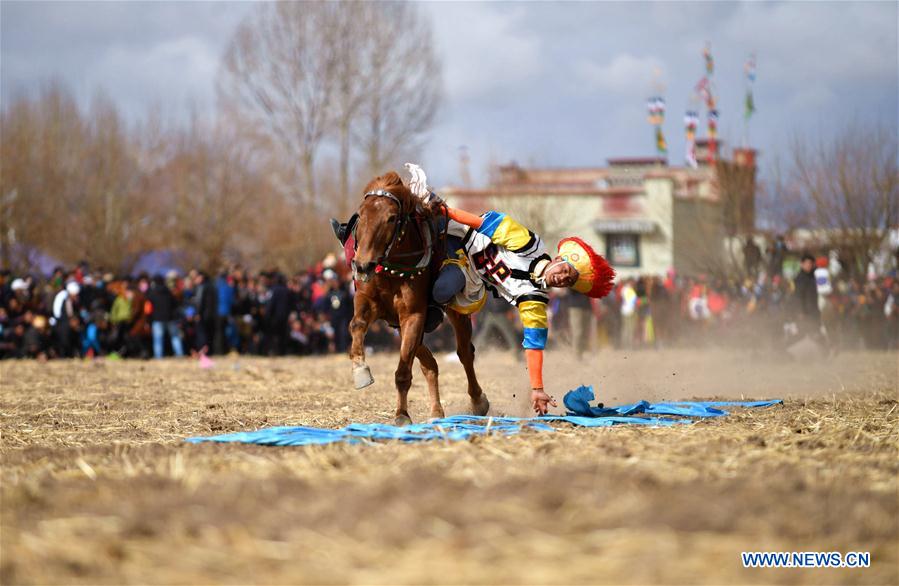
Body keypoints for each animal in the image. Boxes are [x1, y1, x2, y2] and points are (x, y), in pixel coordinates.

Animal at [348, 171, 488, 422]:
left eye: (391, 218)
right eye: (361, 215)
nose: (362, 265)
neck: (392, 271)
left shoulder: (413, 315)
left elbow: (403, 372)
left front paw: (402, 415)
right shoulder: (368, 303)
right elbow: (357, 324)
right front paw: (360, 370)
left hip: (454, 312)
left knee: (464, 353)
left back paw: (478, 401)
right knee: (430, 364)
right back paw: (436, 411)